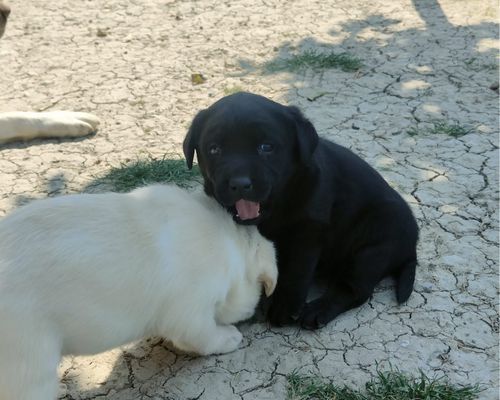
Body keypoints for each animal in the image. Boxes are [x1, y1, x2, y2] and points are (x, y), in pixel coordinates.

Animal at [0, 184, 278, 400]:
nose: (253, 313)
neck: (228, 245)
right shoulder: (190, 316)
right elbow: (206, 336)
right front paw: (229, 337)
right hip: (28, 359)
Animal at [184, 92, 418, 330]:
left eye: (266, 147)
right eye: (214, 149)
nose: (240, 184)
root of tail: (411, 249)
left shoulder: (308, 232)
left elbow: (295, 272)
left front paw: (284, 308)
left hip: (374, 246)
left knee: (356, 289)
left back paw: (317, 310)